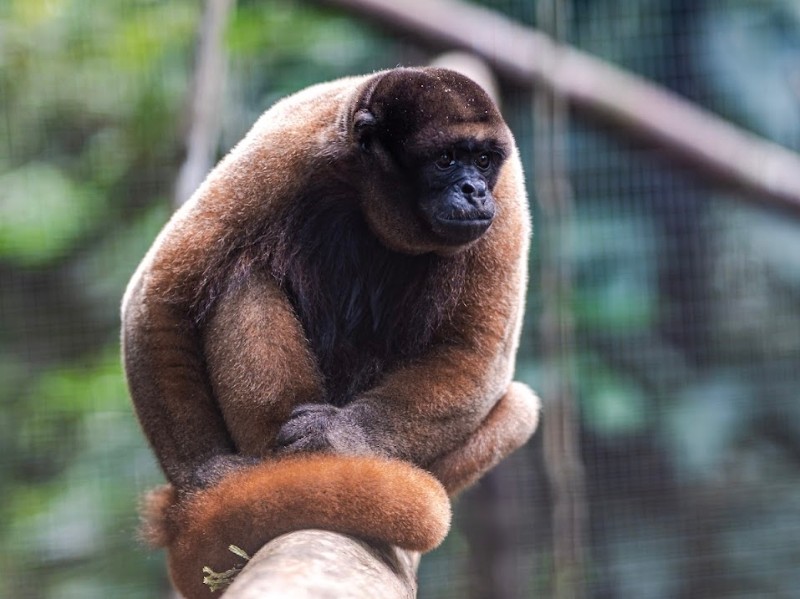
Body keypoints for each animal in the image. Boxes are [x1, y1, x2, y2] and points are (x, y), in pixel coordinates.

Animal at [122, 66, 540, 598]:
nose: (474, 191)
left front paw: (338, 435)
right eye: (446, 160)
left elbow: (477, 351)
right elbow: (160, 298)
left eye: (483, 161)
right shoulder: (284, 149)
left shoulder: (508, 198)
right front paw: (207, 479)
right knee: (242, 276)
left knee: (520, 407)